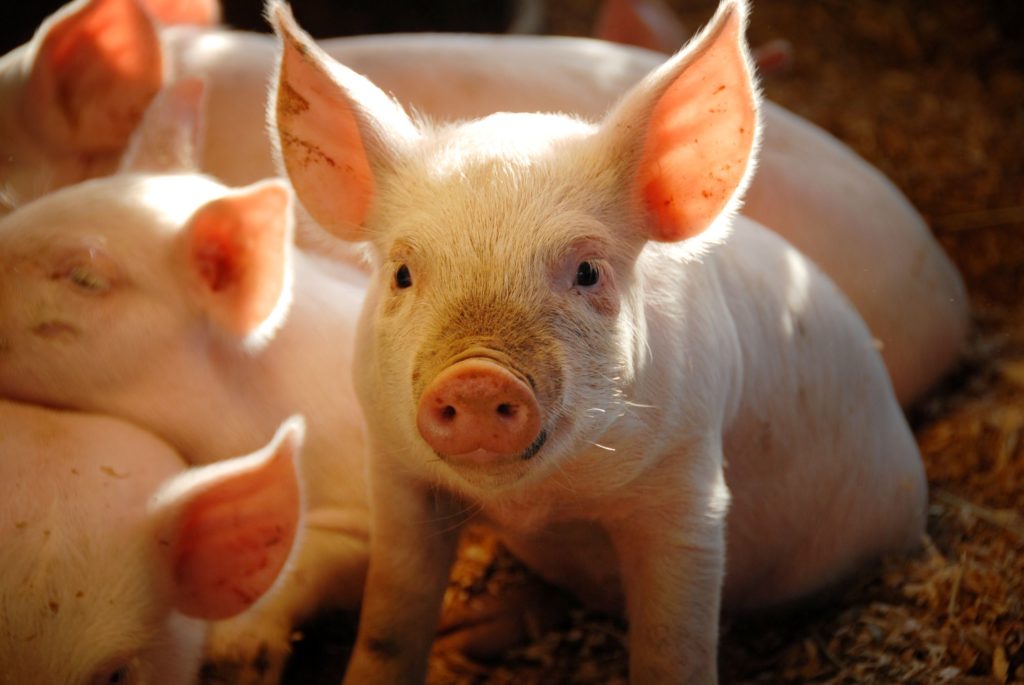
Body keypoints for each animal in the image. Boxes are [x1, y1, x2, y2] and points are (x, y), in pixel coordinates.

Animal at [270, 2, 929, 679]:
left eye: (587, 271)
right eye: (402, 272)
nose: (476, 376)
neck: (540, 504)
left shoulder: (690, 488)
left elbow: (674, 643)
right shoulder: (395, 471)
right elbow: (390, 619)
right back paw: (462, 638)